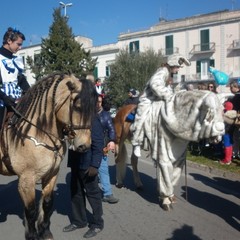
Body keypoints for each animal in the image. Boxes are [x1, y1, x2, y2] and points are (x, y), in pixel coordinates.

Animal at [0, 74, 96, 239]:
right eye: (77, 106)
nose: (84, 145)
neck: (38, 131)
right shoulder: (26, 180)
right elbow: (31, 211)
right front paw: (32, 236)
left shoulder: (52, 174)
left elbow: (47, 203)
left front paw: (45, 232)